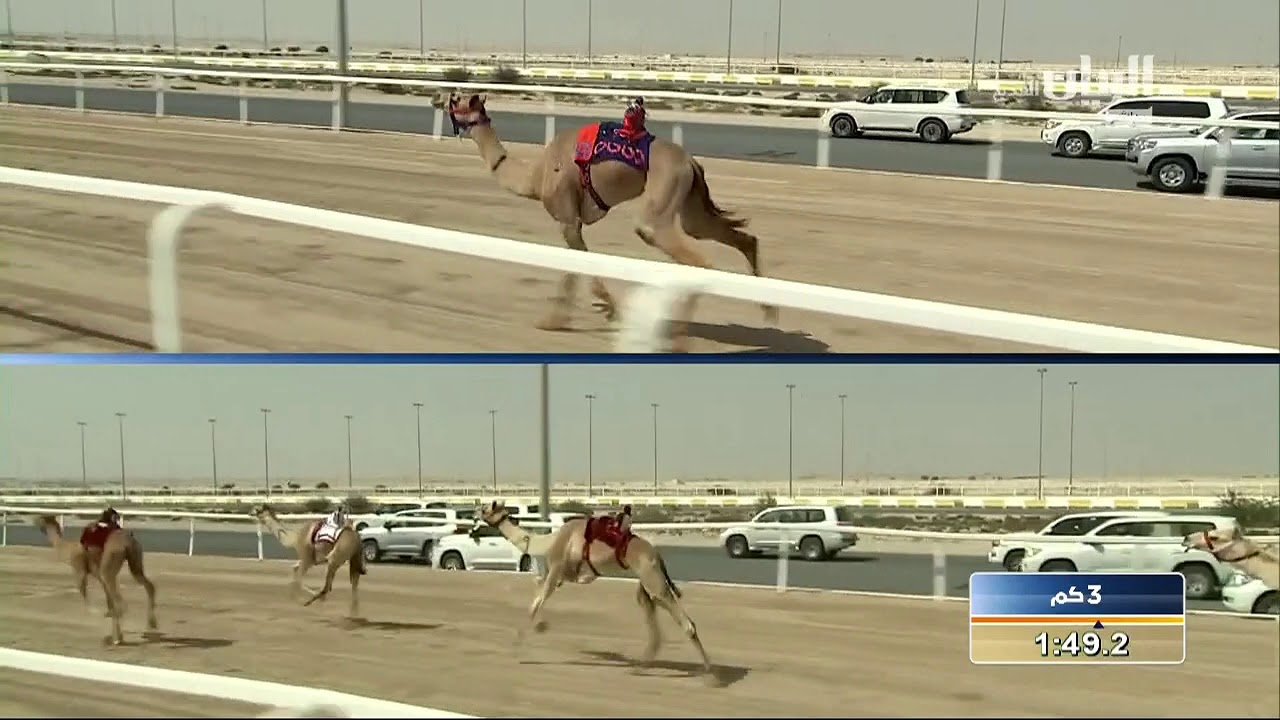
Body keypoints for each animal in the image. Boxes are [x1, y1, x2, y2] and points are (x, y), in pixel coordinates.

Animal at [34, 515, 158, 645]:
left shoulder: (79, 569)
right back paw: (150, 624)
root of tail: (128, 541)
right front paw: (117, 635)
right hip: (135, 558)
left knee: (121, 602)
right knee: (147, 585)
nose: (34, 519)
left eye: (42, 518)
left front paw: (110, 630)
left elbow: (86, 597)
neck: (67, 548)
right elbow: (109, 602)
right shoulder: (98, 577)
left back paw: (116, 637)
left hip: (110, 561)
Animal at [445, 92, 777, 352]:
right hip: (692, 206)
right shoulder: (575, 222)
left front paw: (556, 320)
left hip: (662, 197)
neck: (534, 177)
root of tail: (691, 162)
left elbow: (575, 267)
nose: (439, 98)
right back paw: (769, 312)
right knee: (738, 238)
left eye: (456, 99)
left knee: (692, 256)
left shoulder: (567, 219)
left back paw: (680, 339)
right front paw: (606, 308)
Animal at [477, 500, 714, 682]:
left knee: (686, 623)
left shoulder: (557, 568)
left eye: (486, 508)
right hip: (646, 583)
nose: (474, 515)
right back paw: (640, 668)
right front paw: (537, 629)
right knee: (652, 617)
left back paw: (711, 676)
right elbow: (537, 592)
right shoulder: (565, 575)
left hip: (652, 579)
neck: (548, 541)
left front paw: (520, 645)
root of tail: (657, 555)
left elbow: (537, 601)